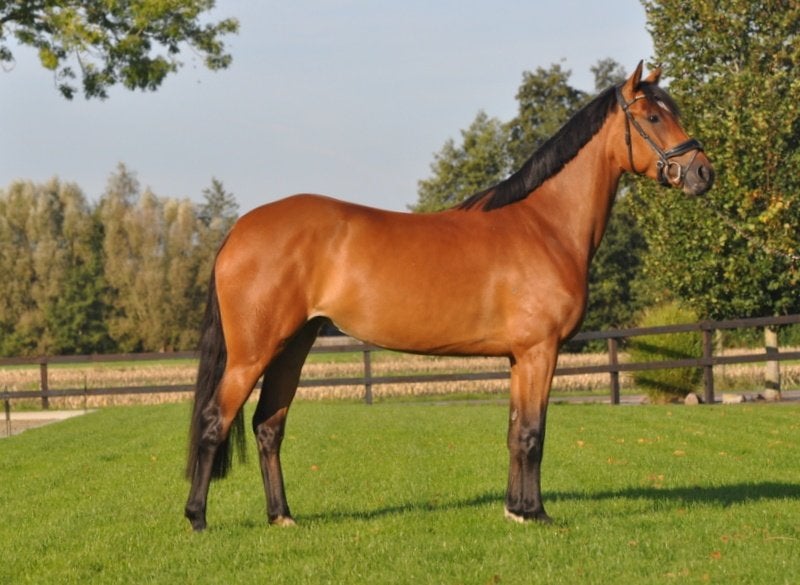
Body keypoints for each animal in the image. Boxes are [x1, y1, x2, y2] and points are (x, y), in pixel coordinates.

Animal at [184, 61, 713, 531]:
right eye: (653, 117)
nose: (702, 173)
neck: (546, 225)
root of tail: (238, 232)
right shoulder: (540, 351)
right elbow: (533, 434)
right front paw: (537, 514)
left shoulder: (520, 357)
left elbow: (515, 432)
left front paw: (516, 510)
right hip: (252, 354)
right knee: (214, 421)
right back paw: (197, 518)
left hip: (293, 346)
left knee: (268, 426)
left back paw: (282, 516)